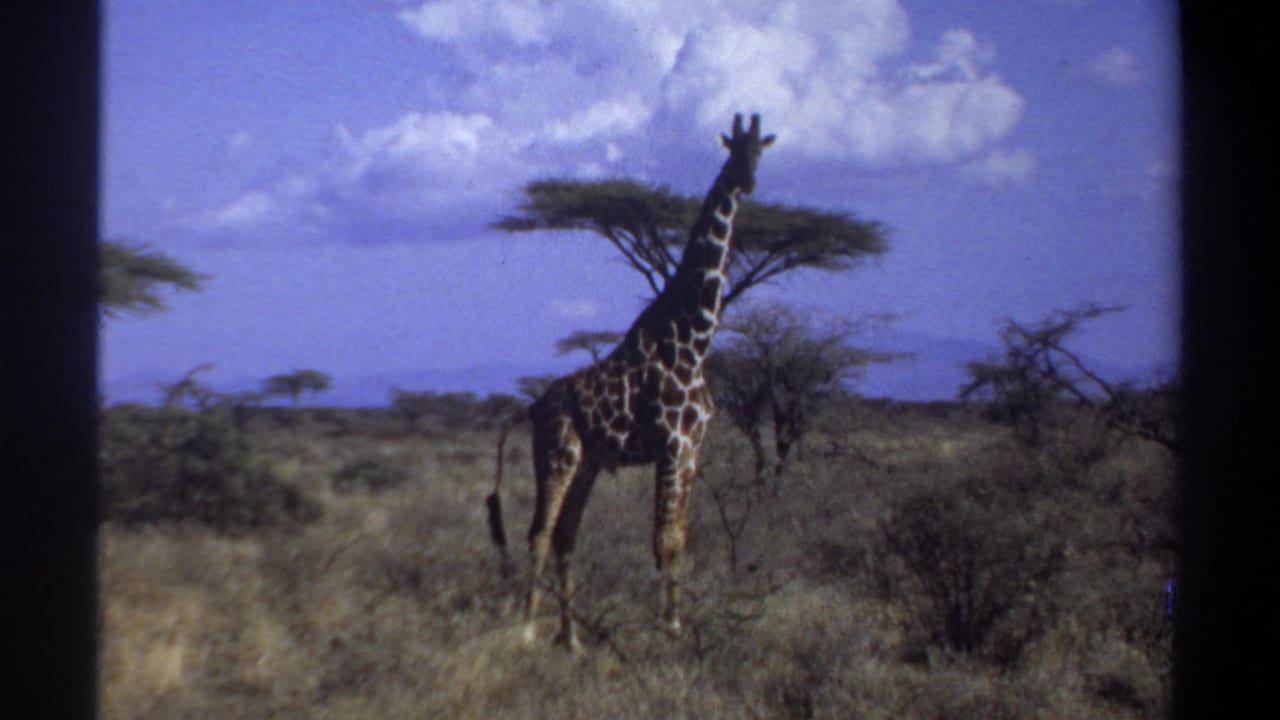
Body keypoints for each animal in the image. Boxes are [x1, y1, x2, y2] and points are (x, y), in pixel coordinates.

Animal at [488, 113, 774, 650]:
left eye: (760, 151)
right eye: (732, 149)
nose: (746, 181)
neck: (694, 336)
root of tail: (534, 407)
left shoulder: (693, 448)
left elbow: (679, 538)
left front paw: (677, 623)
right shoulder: (672, 445)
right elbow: (662, 539)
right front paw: (668, 628)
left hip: (588, 462)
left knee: (566, 534)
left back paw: (572, 638)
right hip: (558, 454)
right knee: (539, 532)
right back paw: (529, 630)